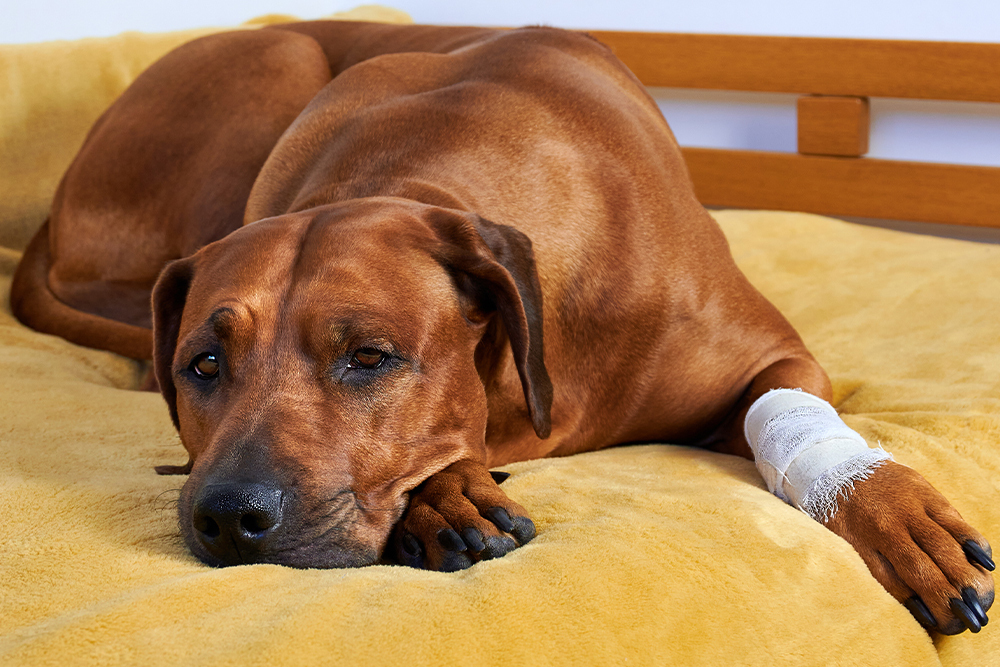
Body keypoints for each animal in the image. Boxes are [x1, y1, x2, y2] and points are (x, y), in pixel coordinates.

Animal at [7, 22, 992, 636]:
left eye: (369, 357)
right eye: (204, 364)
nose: (228, 517)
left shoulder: (777, 356)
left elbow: (790, 417)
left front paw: (896, 513)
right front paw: (450, 491)